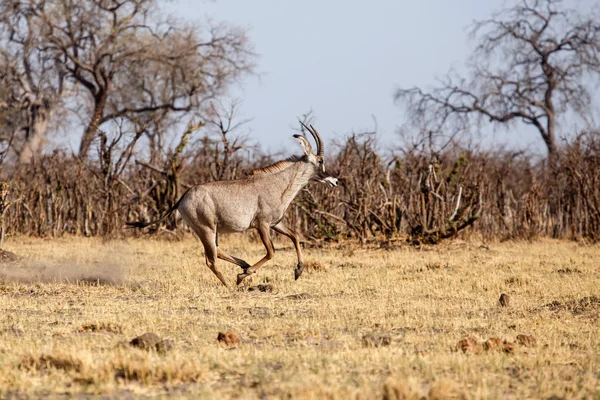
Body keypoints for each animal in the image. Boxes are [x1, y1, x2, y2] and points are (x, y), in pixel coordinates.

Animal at [127, 122, 338, 288]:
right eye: (320, 160)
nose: (335, 181)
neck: (278, 183)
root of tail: (182, 198)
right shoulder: (261, 224)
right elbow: (271, 252)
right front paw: (242, 276)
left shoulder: (275, 223)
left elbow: (295, 236)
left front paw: (298, 271)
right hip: (206, 229)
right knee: (210, 260)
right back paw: (232, 282)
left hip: (212, 231)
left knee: (217, 252)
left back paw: (244, 265)